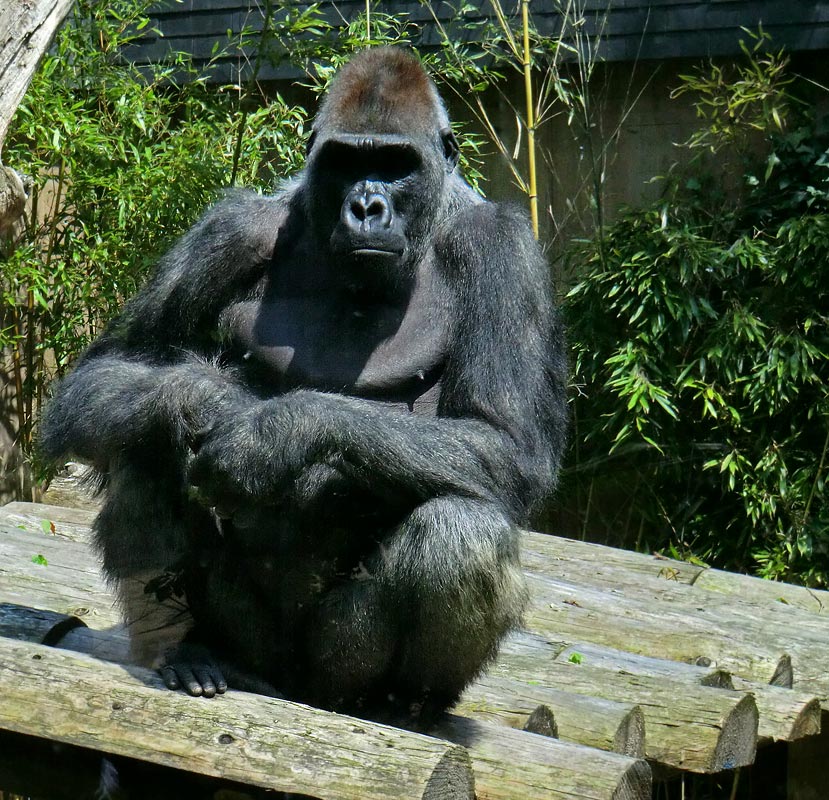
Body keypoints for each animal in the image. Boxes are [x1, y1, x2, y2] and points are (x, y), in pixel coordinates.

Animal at [38, 47, 568, 728]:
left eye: (394, 166)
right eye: (346, 163)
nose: (367, 207)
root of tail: (295, 691)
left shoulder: (503, 248)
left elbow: (504, 440)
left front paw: (273, 433)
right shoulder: (233, 228)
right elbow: (109, 370)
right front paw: (208, 399)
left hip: (333, 674)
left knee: (463, 528)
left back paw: (403, 706)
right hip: (256, 648)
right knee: (143, 433)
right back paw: (190, 649)